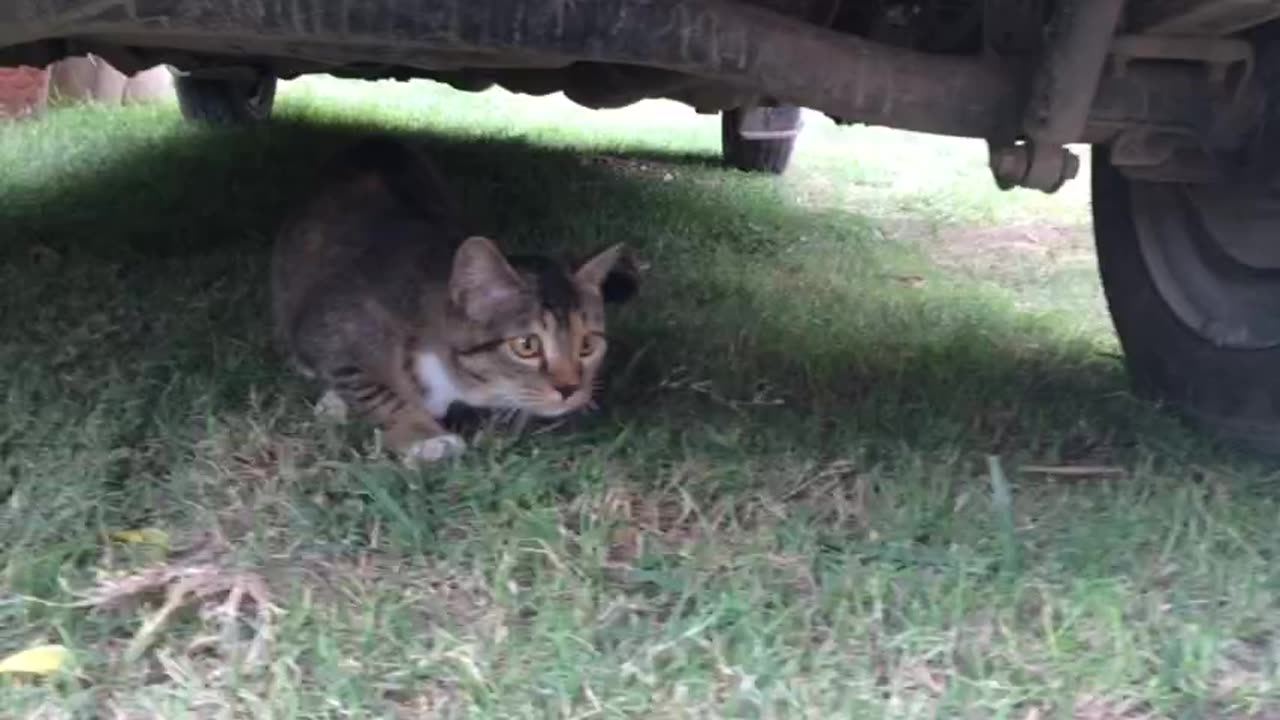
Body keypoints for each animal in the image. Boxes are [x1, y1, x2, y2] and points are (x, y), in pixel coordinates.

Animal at [271, 137, 634, 461]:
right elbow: (372, 388)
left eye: (587, 345)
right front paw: (425, 437)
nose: (570, 389)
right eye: (526, 346)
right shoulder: (330, 326)